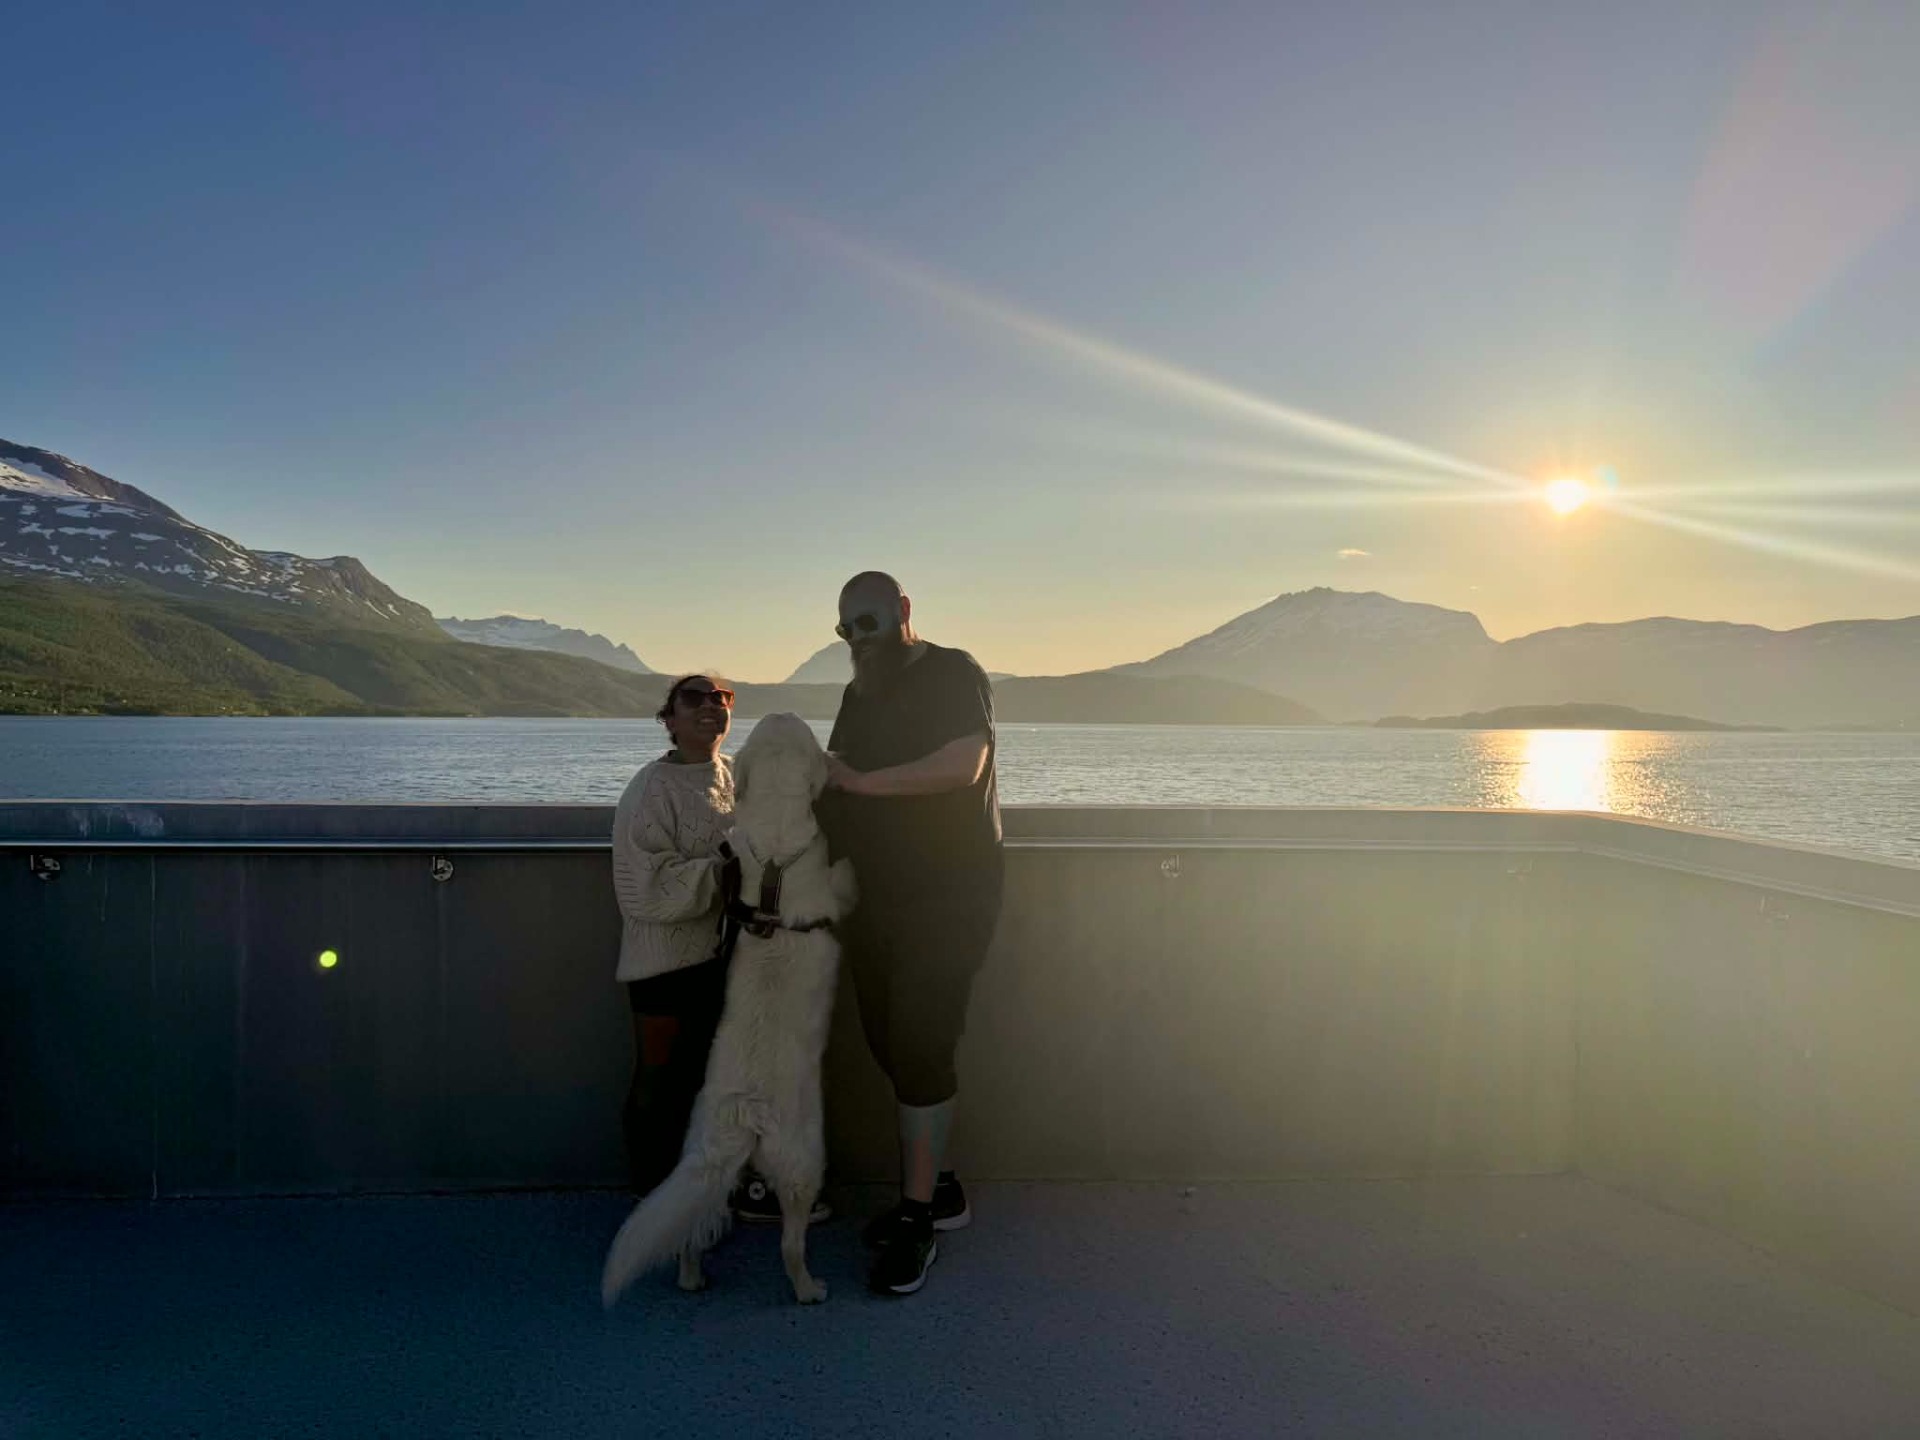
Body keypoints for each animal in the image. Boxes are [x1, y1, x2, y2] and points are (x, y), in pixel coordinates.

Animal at [600, 712, 856, 1306]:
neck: (776, 855)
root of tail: (746, 1109)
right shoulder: (832, 884)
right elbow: (845, 880)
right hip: (802, 1158)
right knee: (790, 1242)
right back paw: (809, 1288)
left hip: (705, 1156)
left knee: (691, 1232)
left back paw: (692, 1275)